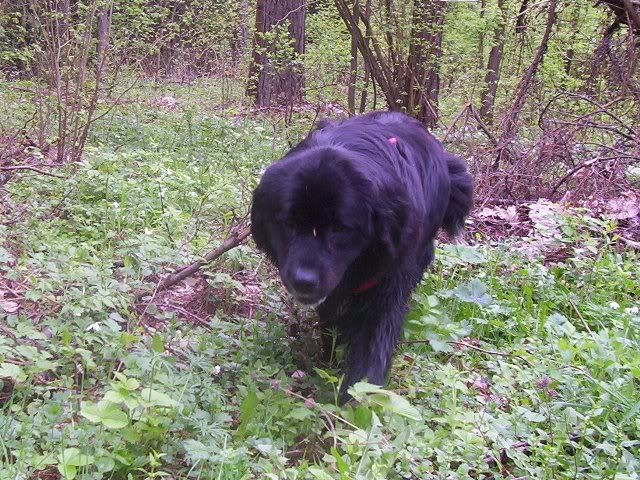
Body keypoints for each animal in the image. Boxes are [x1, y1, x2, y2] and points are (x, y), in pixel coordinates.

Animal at [250, 111, 473, 401]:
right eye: (288, 223)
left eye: (340, 229)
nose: (304, 280)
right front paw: (330, 361)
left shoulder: (387, 289)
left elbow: (370, 356)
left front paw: (356, 403)